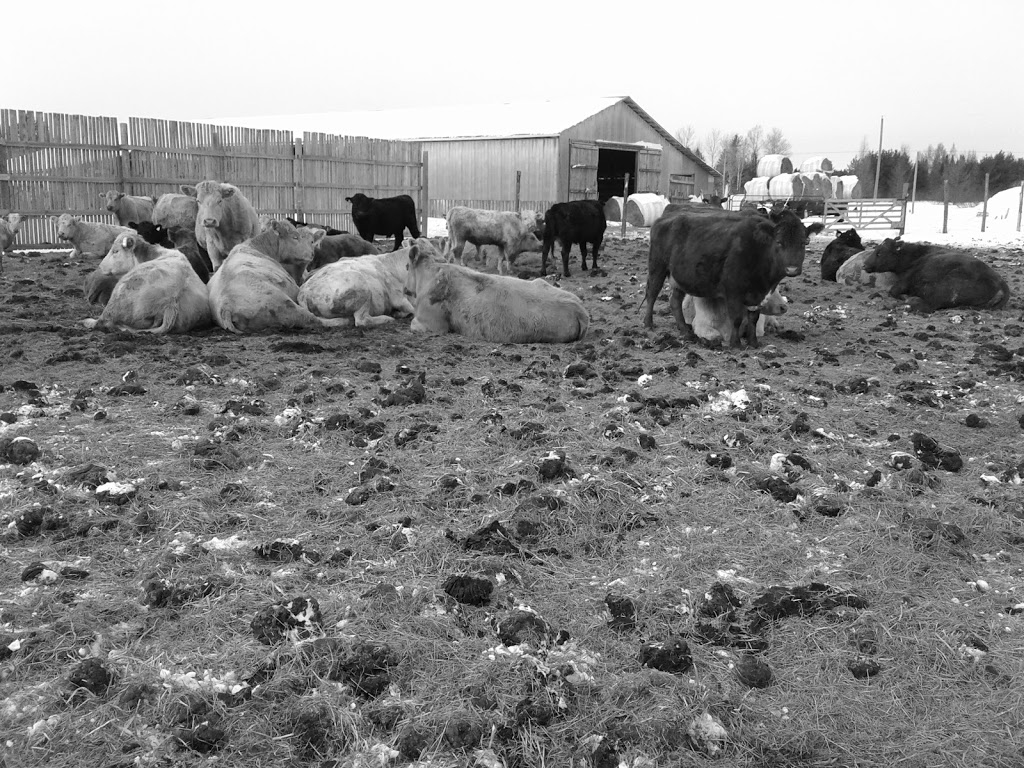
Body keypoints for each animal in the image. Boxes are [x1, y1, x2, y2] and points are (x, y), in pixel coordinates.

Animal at [207, 218, 352, 335]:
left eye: (312, 241)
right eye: (295, 237)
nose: (311, 254)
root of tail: (226, 306)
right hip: (286, 305)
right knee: (313, 320)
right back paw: (343, 320)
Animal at [296, 237, 440, 327]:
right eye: (431, 253)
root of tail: (303, 293)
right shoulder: (398, 298)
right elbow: (413, 310)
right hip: (361, 286)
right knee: (362, 320)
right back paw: (387, 318)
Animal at [864, 240, 1007, 313]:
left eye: (879, 253)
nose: (865, 264)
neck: (916, 255)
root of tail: (1001, 284)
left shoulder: (905, 281)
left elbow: (893, 291)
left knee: (928, 305)